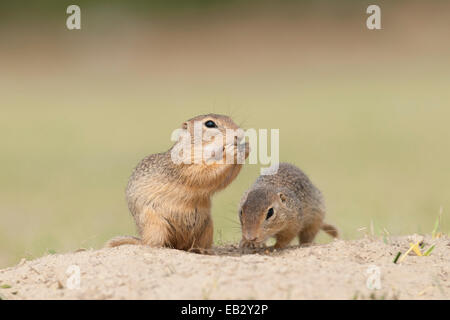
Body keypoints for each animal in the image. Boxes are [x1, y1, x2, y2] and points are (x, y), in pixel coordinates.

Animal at [107, 114, 251, 251]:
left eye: (230, 118)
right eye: (210, 124)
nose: (240, 134)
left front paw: (246, 148)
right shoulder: (186, 165)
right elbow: (204, 173)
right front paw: (232, 151)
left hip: (207, 228)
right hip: (156, 225)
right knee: (151, 244)